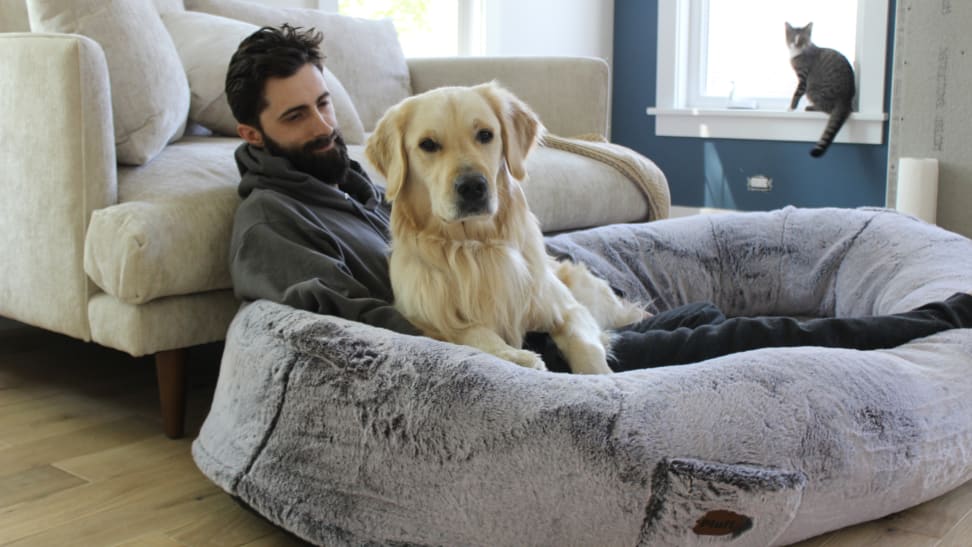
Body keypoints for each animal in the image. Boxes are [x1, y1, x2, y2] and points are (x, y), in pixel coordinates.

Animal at [364, 83, 644, 374]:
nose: (472, 187)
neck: (476, 244)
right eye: (428, 144)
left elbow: (586, 346)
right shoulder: (424, 317)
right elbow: (473, 333)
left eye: (485, 135)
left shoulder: (568, 308)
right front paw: (517, 356)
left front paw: (601, 376)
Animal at [784, 22, 856, 157]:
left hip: (814, 91)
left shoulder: (803, 78)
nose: (797, 44)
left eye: (803, 39)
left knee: (827, 108)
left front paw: (791, 107)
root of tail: (846, 97)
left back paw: (811, 107)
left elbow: (797, 93)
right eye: (793, 38)